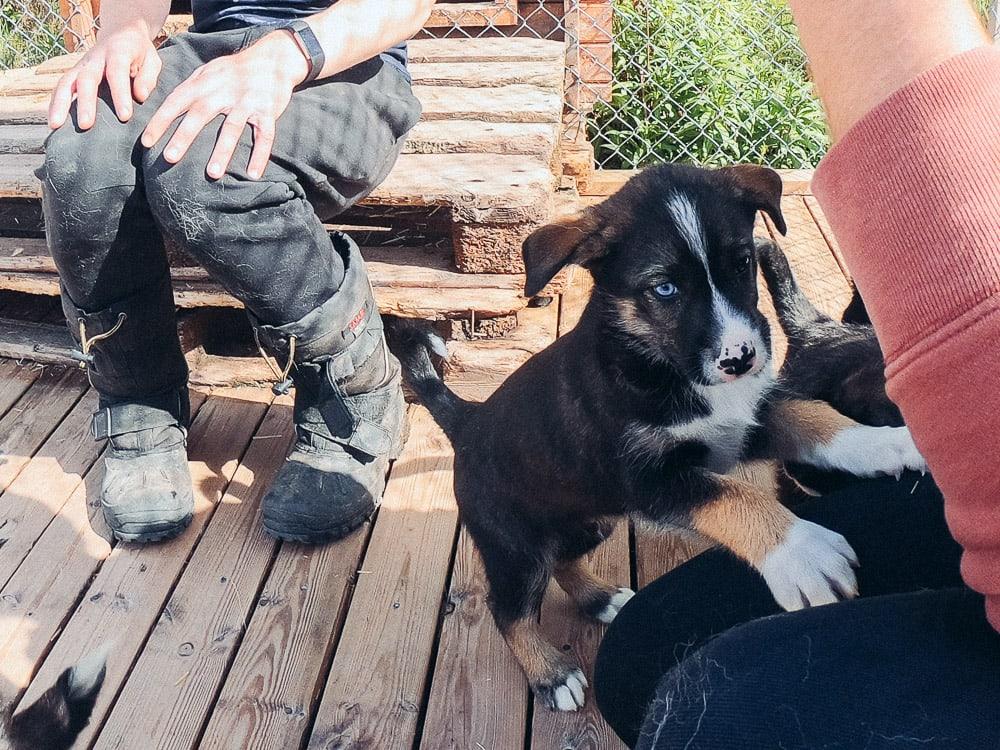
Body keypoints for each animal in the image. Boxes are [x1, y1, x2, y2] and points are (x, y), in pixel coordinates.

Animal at [386, 163, 924, 712]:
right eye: (664, 289)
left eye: (742, 263)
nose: (741, 360)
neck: (667, 370)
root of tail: (468, 421)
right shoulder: (650, 480)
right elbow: (733, 497)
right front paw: (801, 552)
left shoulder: (752, 416)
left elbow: (815, 417)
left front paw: (889, 443)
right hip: (515, 546)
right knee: (508, 611)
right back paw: (552, 675)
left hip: (590, 516)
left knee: (564, 559)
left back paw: (601, 598)